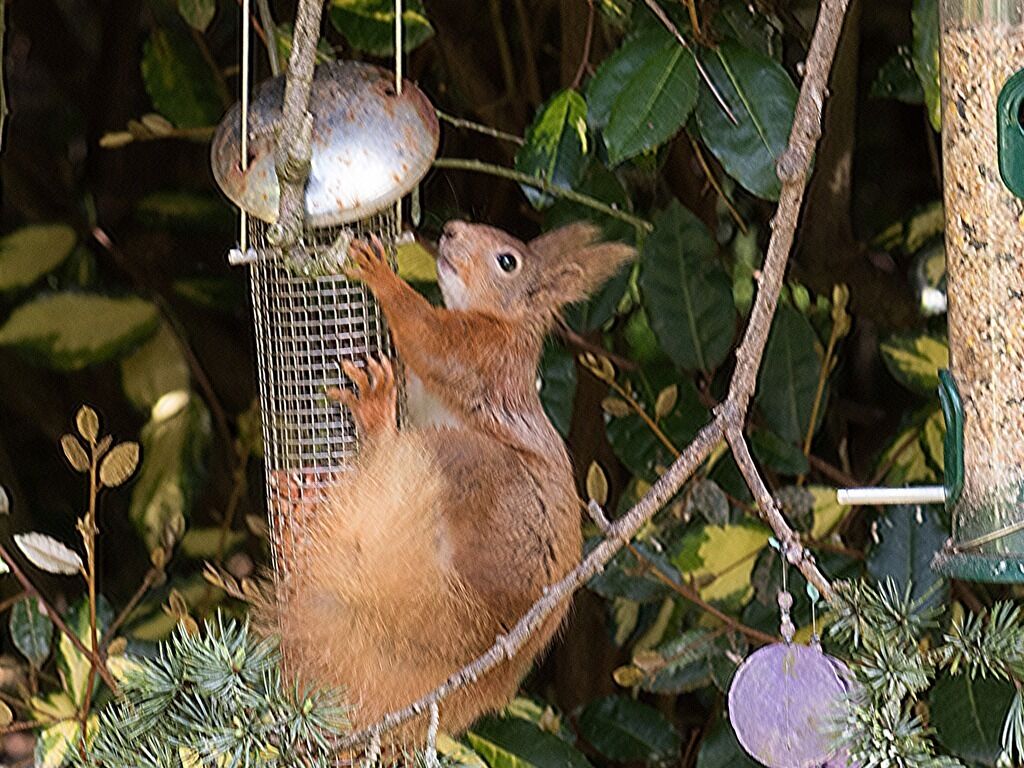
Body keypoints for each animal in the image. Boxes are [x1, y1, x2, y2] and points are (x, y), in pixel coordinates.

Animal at [262, 220, 634, 743]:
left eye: (506, 261)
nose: (452, 229)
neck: (503, 320)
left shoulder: (481, 354)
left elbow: (428, 338)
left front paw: (381, 275)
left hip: (475, 475)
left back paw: (375, 416)